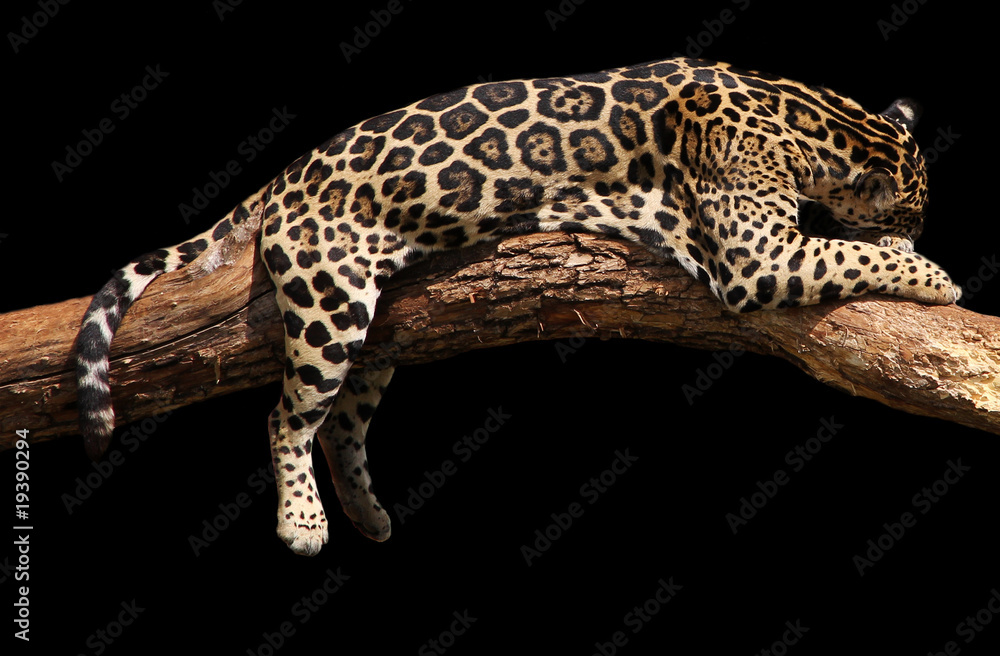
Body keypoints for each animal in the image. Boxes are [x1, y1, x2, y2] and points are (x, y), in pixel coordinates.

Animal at [75, 57, 959, 556]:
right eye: (914, 212)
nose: (922, 230)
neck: (807, 113)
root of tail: (286, 174)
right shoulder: (758, 256)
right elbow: (849, 251)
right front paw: (934, 273)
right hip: (329, 303)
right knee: (288, 416)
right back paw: (304, 523)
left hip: (375, 323)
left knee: (344, 422)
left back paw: (368, 514)